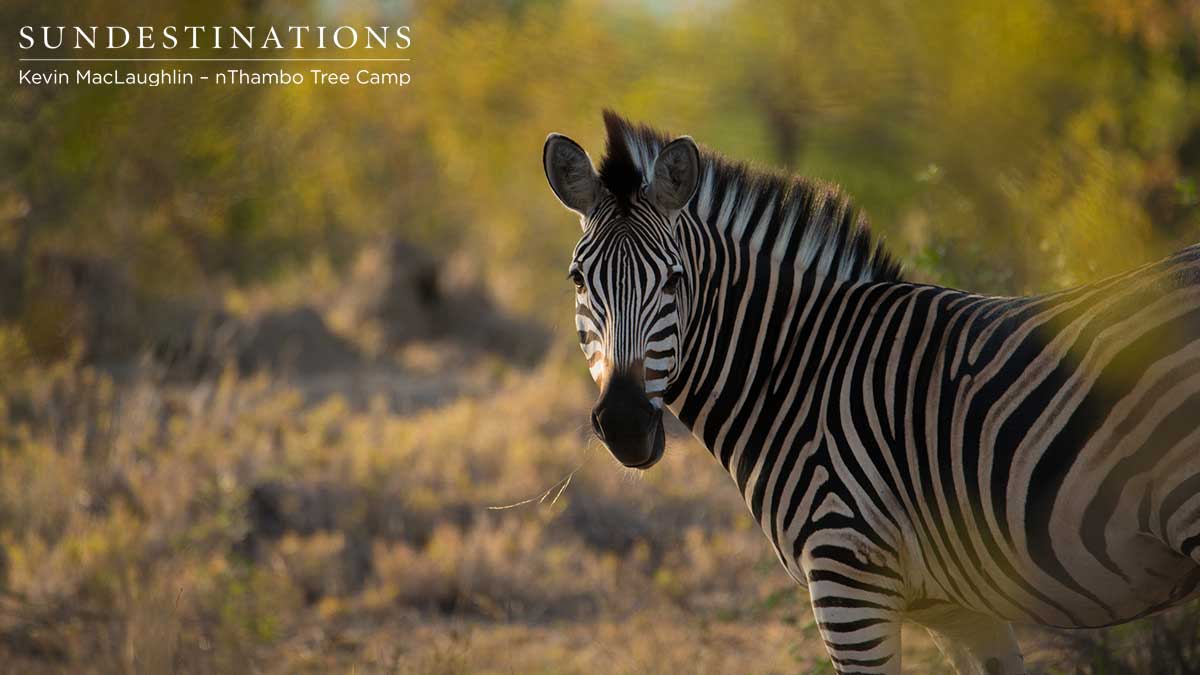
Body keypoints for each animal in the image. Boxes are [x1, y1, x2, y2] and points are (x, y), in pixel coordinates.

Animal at [542, 111, 1200, 675]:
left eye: (675, 281)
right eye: (577, 280)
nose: (625, 423)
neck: (800, 368)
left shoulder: (848, 578)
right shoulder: (956, 606)